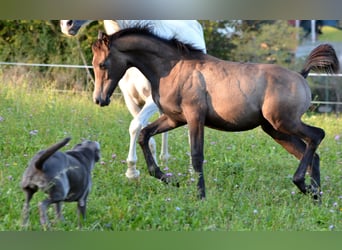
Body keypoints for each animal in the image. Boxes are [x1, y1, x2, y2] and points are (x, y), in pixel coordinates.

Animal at [60, 19, 207, 180]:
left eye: (102, 64)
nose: (66, 24)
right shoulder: (130, 100)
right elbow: (144, 131)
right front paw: (151, 169)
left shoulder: (152, 100)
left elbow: (135, 126)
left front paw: (132, 172)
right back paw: (164, 160)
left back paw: (192, 171)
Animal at [91, 26, 340, 199]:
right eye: (93, 63)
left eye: (103, 64)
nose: (99, 99)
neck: (173, 68)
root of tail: (301, 75)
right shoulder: (174, 119)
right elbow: (144, 135)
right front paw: (169, 180)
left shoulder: (194, 117)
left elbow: (196, 155)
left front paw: (200, 196)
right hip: (276, 130)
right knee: (312, 154)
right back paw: (316, 196)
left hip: (285, 123)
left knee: (317, 136)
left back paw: (303, 185)